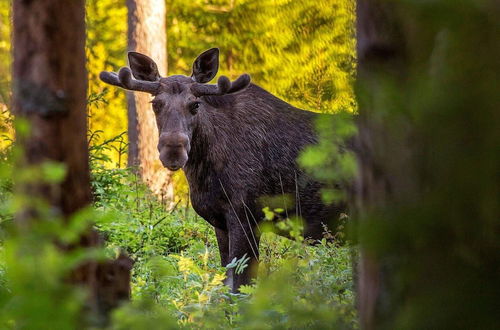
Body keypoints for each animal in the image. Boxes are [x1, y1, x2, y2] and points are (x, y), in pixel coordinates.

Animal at [99, 49, 346, 292]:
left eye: (195, 105)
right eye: (155, 104)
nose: (173, 151)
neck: (204, 173)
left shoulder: (247, 215)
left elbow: (239, 286)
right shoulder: (221, 221)